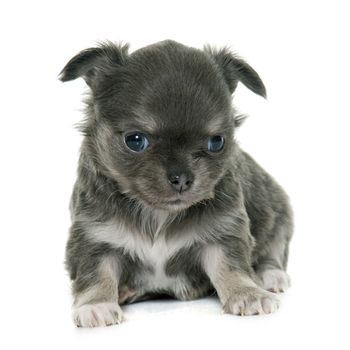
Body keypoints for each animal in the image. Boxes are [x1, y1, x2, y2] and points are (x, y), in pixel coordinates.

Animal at [59, 39, 292, 326]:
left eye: (217, 142)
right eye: (135, 140)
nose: (182, 178)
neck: (158, 214)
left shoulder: (223, 232)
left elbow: (230, 266)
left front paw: (247, 293)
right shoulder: (94, 237)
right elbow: (96, 274)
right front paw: (97, 305)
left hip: (278, 212)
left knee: (273, 250)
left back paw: (270, 276)